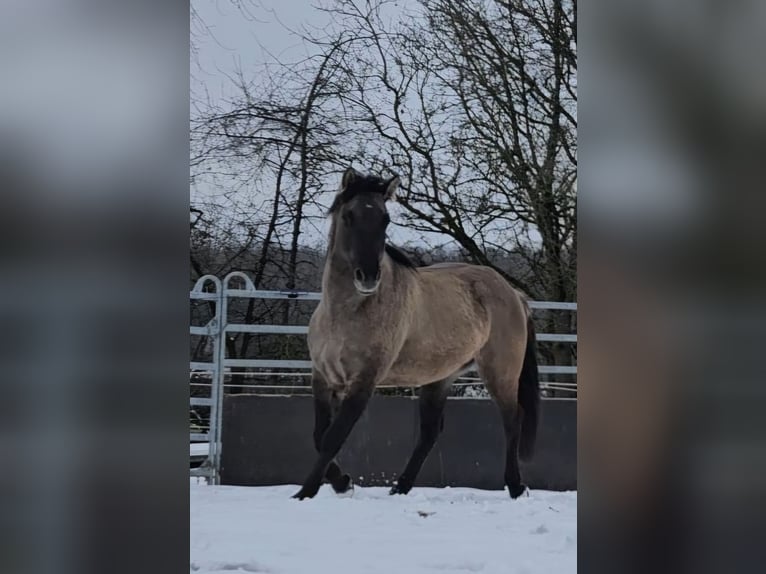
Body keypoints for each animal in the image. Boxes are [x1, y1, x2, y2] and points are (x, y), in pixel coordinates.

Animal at [292, 167, 540, 500]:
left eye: (385, 219)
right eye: (349, 216)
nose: (368, 276)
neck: (344, 314)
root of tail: (513, 293)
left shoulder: (364, 381)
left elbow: (334, 437)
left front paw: (306, 493)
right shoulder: (322, 377)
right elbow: (320, 436)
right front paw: (342, 482)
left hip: (500, 372)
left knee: (513, 420)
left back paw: (515, 486)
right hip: (440, 378)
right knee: (430, 432)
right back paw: (400, 487)